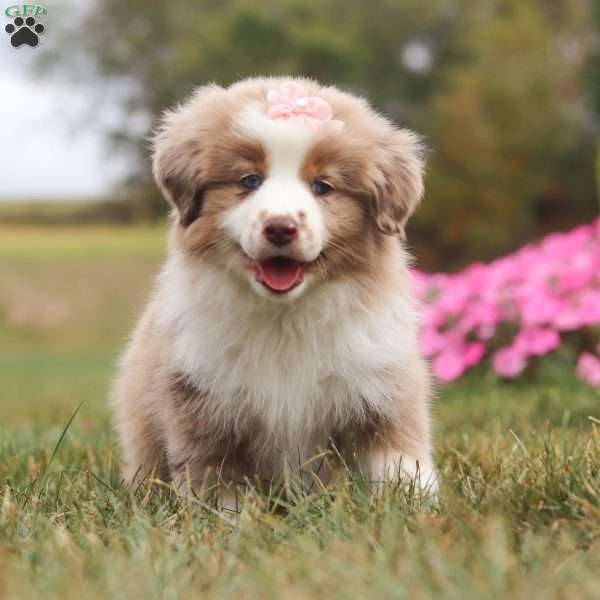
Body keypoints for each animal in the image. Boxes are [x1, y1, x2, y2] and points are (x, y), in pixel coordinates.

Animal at [111, 76, 436, 506]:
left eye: (323, 186)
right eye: (250, 181)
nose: (281, 227)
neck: (286, 317)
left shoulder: (381, 387)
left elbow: (400, 461)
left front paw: (418, 509)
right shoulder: (202, 404)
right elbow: (216, 485)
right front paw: (223, 518)